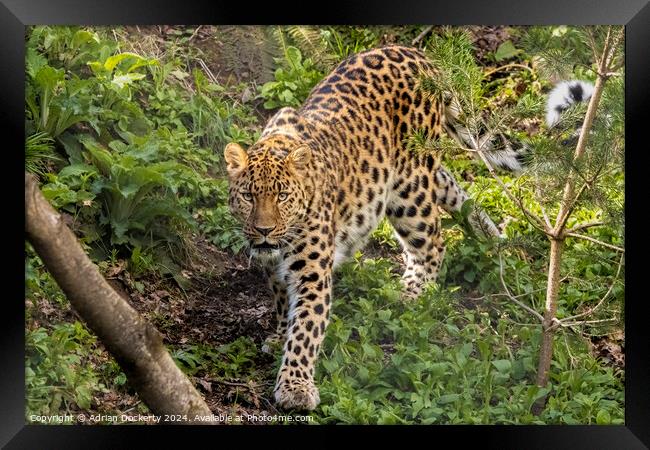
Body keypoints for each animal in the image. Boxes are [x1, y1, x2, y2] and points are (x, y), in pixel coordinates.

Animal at [223, 44, 512, 410]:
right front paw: (278, 336)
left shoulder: (312, 272)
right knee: (451, 185)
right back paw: (492, 237)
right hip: (420, 173)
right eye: (248, 196)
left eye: (282, 196)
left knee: (433, 240)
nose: (263, 230)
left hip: (410, 189)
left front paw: (295, 386)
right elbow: (281, 303)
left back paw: (414, 290)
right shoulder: (273, 266)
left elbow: (306, 328)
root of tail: (419, 55)